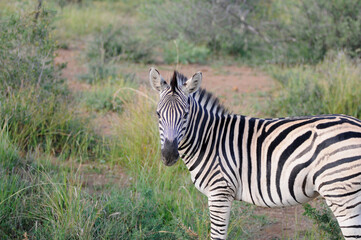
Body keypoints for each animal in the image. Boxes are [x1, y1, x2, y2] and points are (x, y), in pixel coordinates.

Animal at [148, 66, 360, 239]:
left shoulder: (219, 192)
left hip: (341, 194)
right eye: (158, 114)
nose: (168, 155)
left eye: (185, 114)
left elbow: (217, 236)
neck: (209, 139)